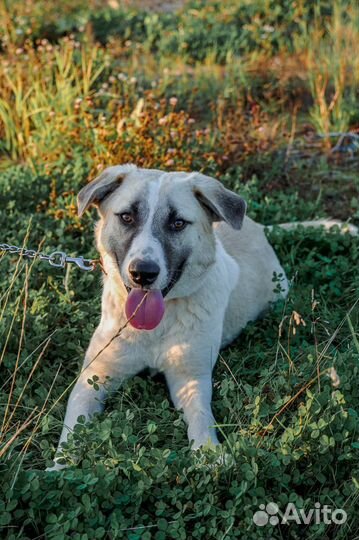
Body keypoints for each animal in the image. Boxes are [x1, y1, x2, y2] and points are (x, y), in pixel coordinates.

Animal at [49, 163, 292, 468]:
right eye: (127, 217)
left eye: (178, 223)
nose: (143, 273)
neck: (156, 327)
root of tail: (256, 226)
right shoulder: (94, 375)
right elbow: (73, 429)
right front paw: (58, 468)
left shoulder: (190, 377)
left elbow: (201, 417)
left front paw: (210, 454)